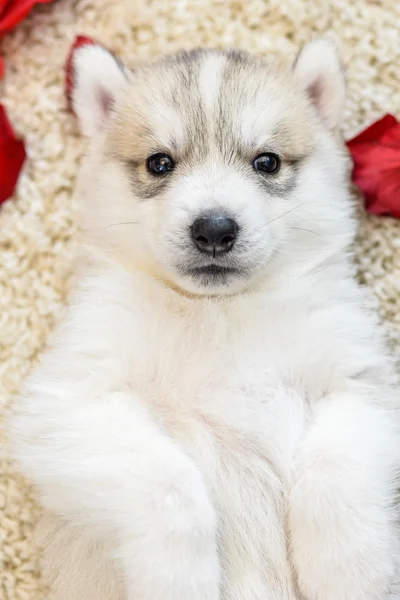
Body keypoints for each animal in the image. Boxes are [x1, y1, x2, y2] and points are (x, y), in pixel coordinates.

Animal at [8, 39, 400, 596]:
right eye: (159, 163)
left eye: (266, 161)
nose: (214, 228)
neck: (217, 310)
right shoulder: (67, 403)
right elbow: (167, 482)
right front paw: (180, 578)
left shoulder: (362, 386)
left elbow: (333, 470)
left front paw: (346, 572)